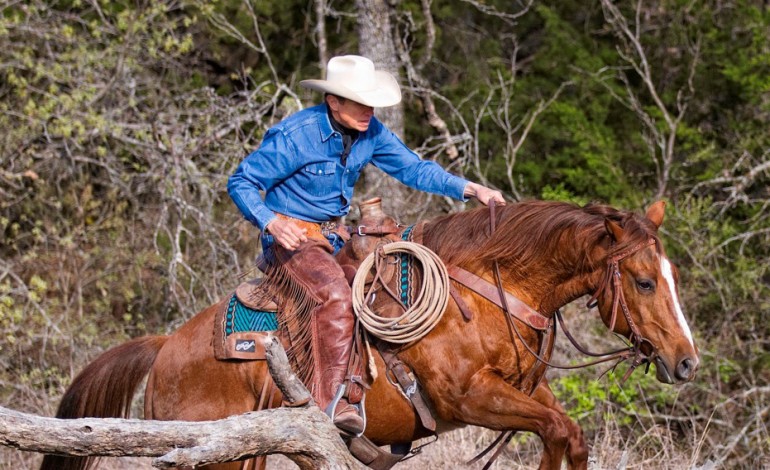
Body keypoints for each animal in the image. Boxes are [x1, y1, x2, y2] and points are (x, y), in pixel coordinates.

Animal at [40, 201, 696, 470]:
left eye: (671, 276)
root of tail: (165, 347)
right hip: (214, 456)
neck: (485, 293)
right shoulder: (469, 399)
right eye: (643, 281)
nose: (687, 362)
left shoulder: (526, 392)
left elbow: (570, 433)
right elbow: (558, 431)